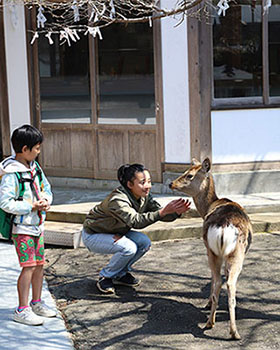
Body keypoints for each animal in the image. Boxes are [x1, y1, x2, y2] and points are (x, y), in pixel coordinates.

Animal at [170, 158, 253, 340]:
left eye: (190, 174)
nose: (171, 183)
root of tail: (223, 227)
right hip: (233, 253)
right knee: (226, 283)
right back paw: (224, 328)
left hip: (216, 252)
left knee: (221, 281)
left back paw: (218, 324)